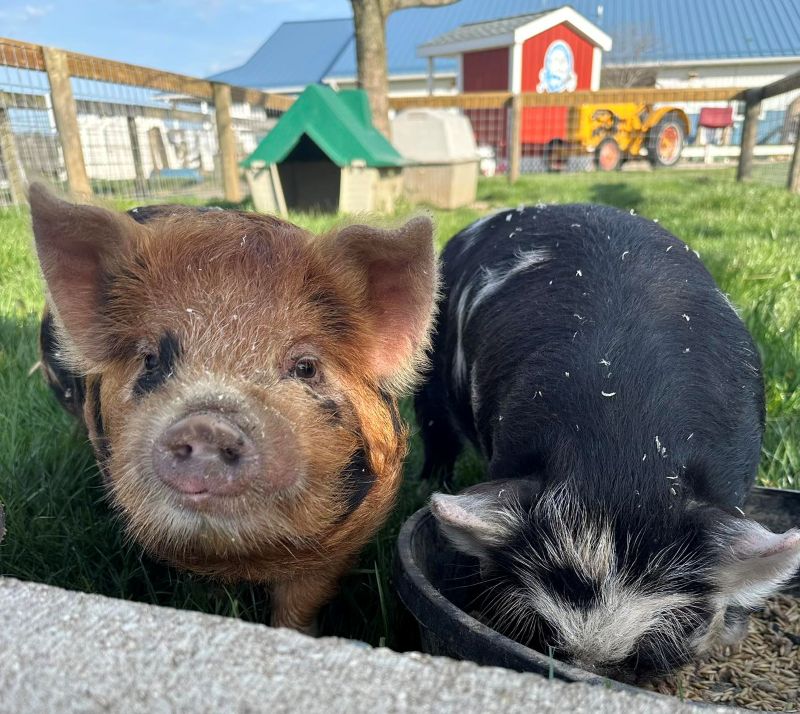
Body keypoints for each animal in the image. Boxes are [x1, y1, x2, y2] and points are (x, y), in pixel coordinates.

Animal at [30, 183, 438, 631]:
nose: (208, 423)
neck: (246, 559)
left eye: (306, 367)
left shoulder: (342, 545)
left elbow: (301, 604)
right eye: (151, 359)